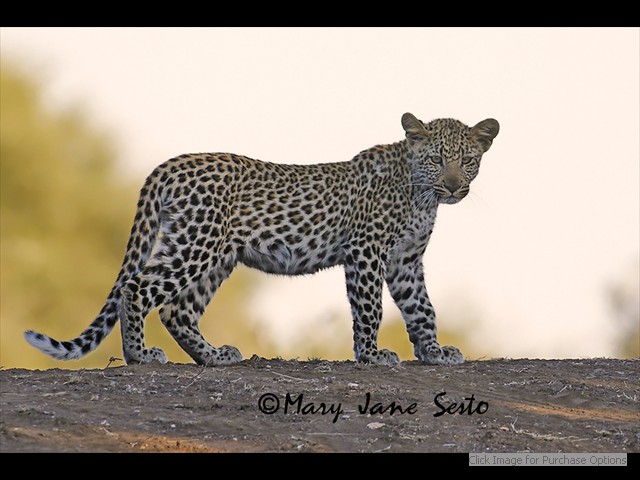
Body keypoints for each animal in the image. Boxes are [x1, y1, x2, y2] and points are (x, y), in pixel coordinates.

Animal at [24, 112, 499, 367]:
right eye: (437, 158)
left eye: (468, 160)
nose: (454, 186)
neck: (422, 195)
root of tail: (170, 165)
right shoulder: (366, 252)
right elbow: (370, 309)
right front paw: (371, 355)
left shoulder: (405, 261)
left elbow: (423, 309)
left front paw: (434, 351)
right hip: (196, 245)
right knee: (137, 288)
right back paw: (140, 355)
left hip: (213, 254)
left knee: (178, 309)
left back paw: (212, 356)